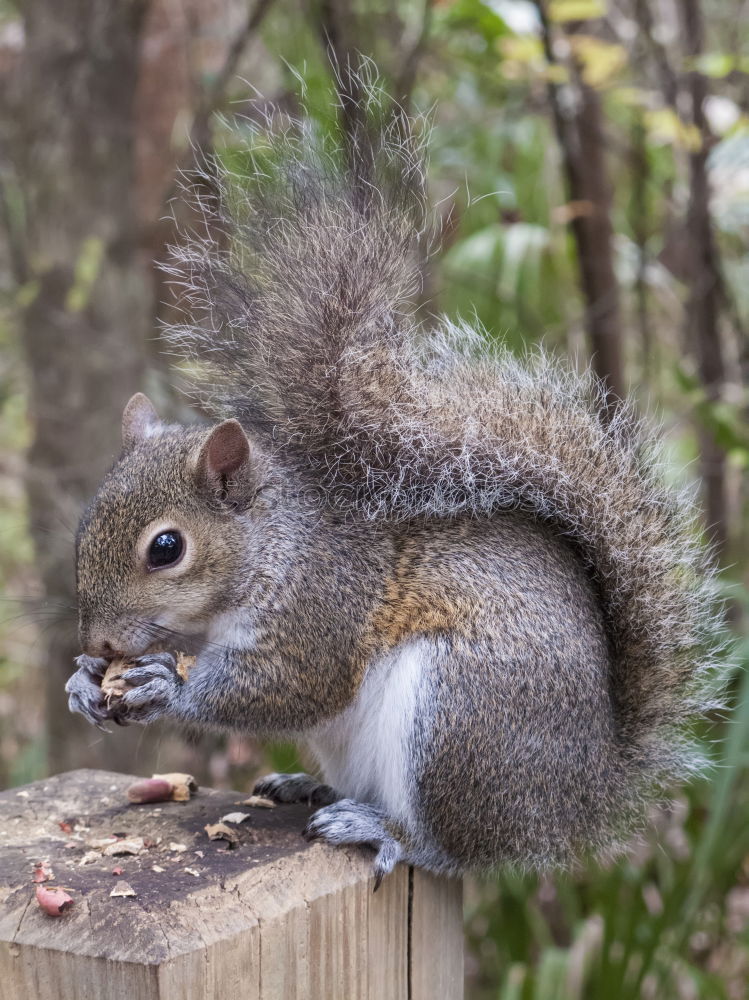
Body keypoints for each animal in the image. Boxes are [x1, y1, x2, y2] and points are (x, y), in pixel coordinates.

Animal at [65, 86, 724, 884]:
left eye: (166, 548)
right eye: (85, 526)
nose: (99, 643)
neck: (271, 540)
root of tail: (576, 802)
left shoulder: (324, 601)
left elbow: (292, 683)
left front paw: (165, 685)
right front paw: (83, 684)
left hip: (460, 717)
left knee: (457, 849)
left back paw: (386, 830)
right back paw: (307, 786)